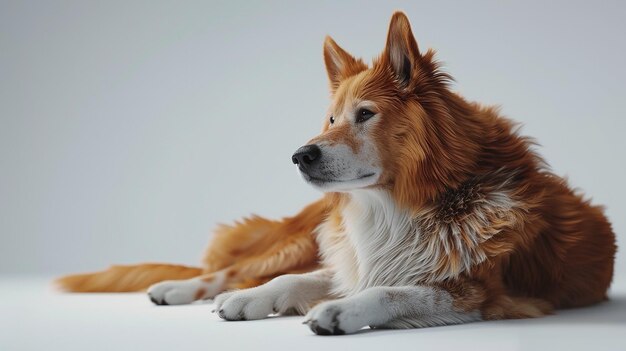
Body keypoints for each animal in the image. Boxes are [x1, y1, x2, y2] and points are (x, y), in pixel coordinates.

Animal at [58, 10, 616, 336]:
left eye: (364, 114)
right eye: (330, 119)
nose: (300, 154)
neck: (400, 206)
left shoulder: (482, 291)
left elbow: (394, 288)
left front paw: (340, 311)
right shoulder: (350, 256)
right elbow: (291, 279)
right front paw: (251, 300)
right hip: (305, 236)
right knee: (230, 270)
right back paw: (181, 289)